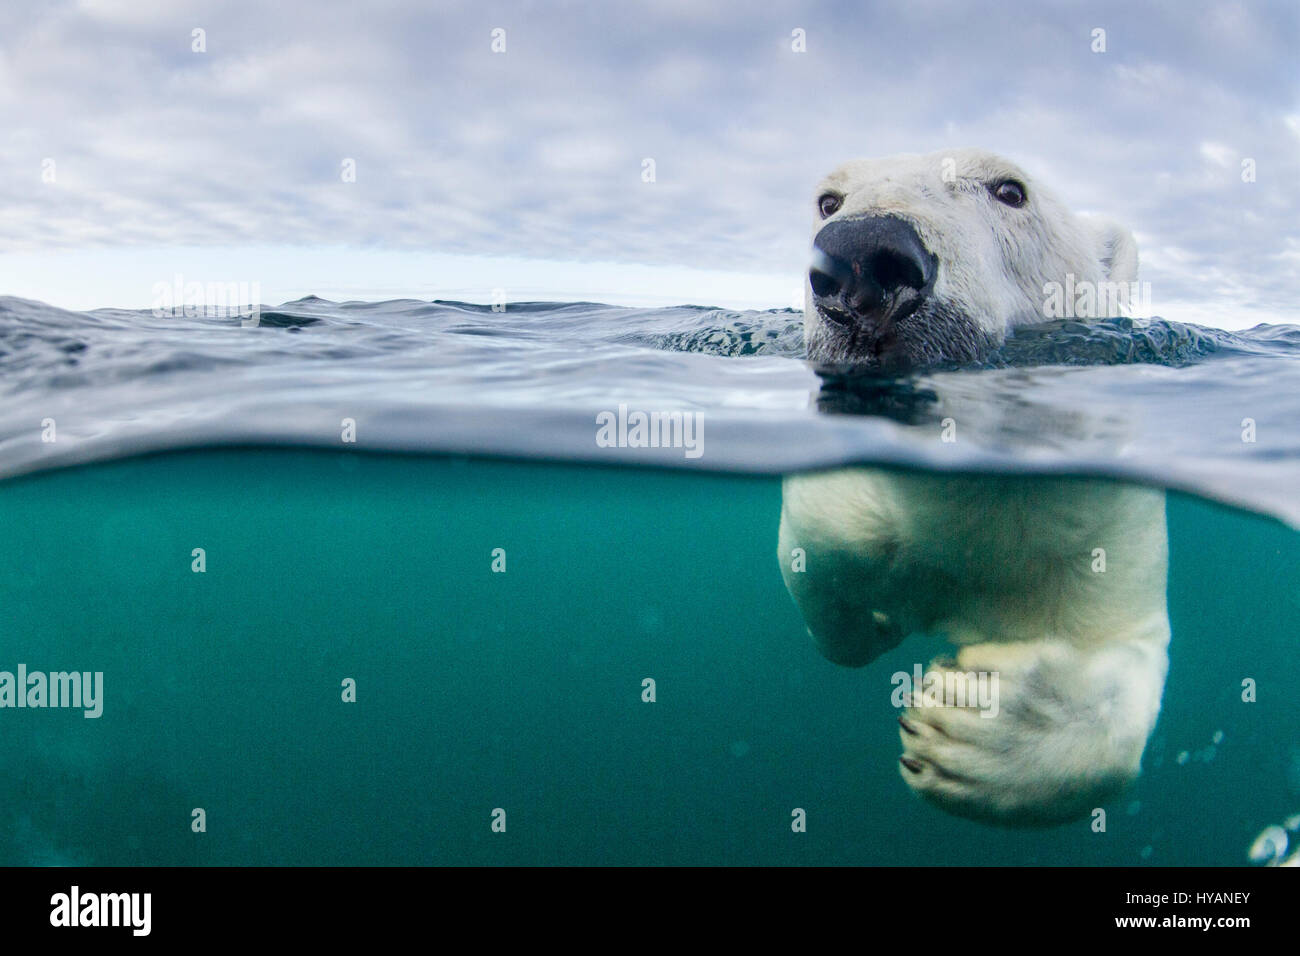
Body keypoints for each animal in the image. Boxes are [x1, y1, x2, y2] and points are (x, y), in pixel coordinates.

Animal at [774, 147, 1175, 822]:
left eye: (1009, 190)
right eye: (829, 200)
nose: (862, 256)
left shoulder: (1107, 522)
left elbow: (1123, 651)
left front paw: (968, 721)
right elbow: (821, 546)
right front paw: (873, 616)